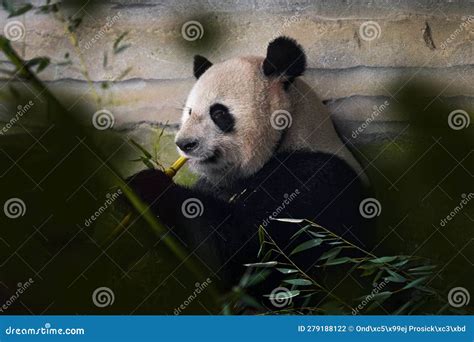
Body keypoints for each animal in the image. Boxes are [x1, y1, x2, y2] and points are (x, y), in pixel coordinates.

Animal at [128, 35, 372, 286]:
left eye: (218, 113)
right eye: (189, 112)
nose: (185, 144)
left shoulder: (312, 180)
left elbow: (247, 252)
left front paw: (149, 186)